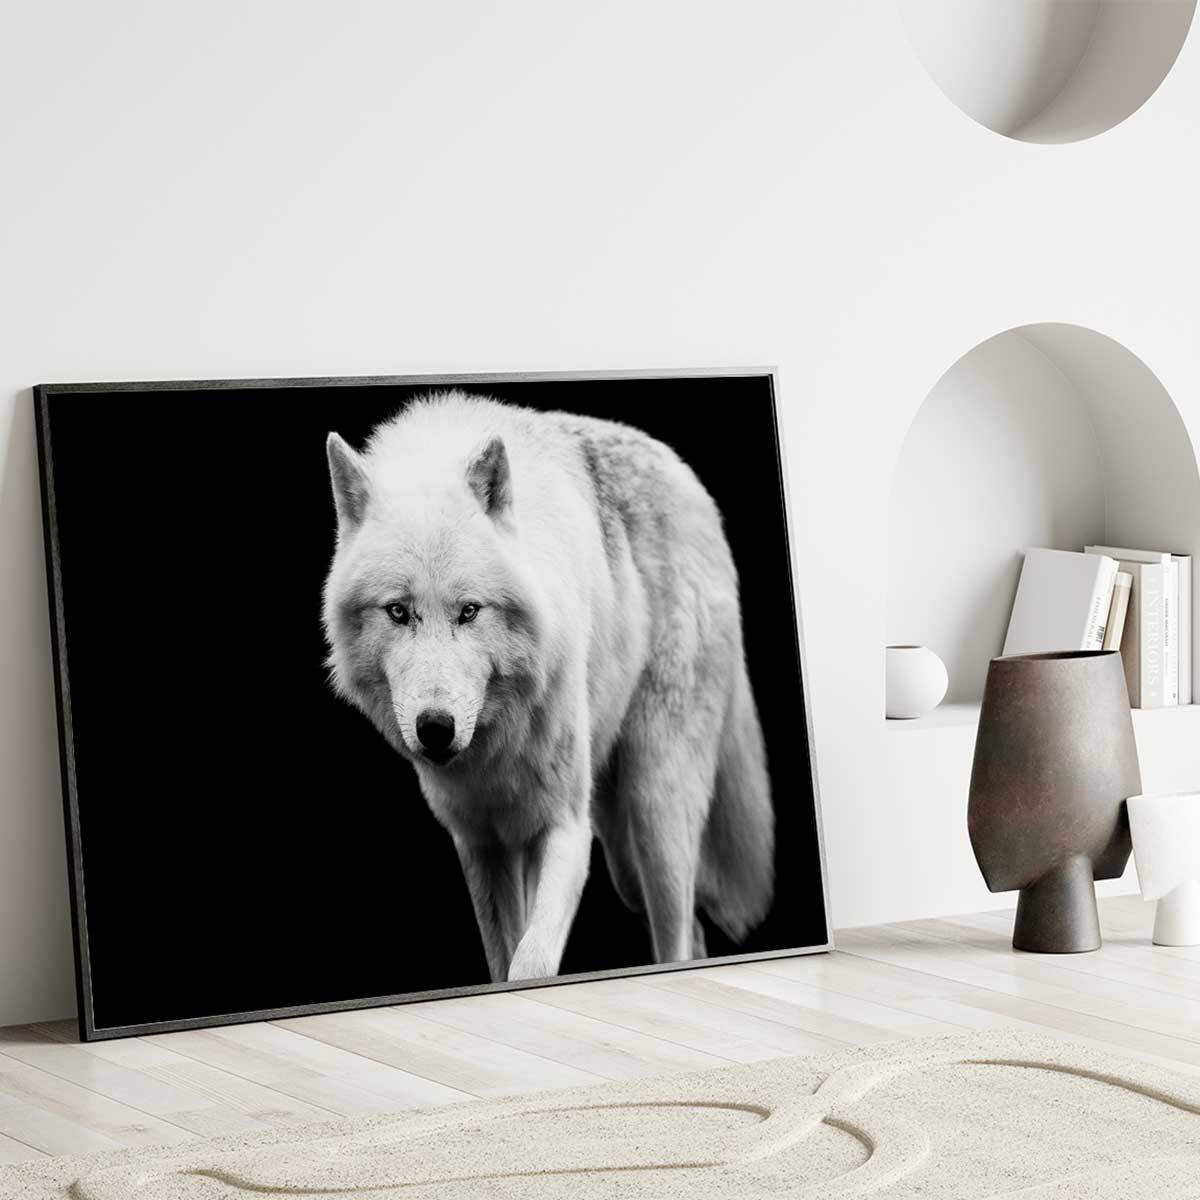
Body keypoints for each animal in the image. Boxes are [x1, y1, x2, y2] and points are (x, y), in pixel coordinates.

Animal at [323, 391, 774, 984]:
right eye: (398, 612)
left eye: (470, 611)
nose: (436, 729)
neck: (495, 744)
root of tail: (690, 481)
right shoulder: (481, 844)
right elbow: (503, 958)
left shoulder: (564, 830)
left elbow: (530, 961)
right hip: (623, 858)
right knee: (691, 931)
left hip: (656, 813)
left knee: (677, 930)